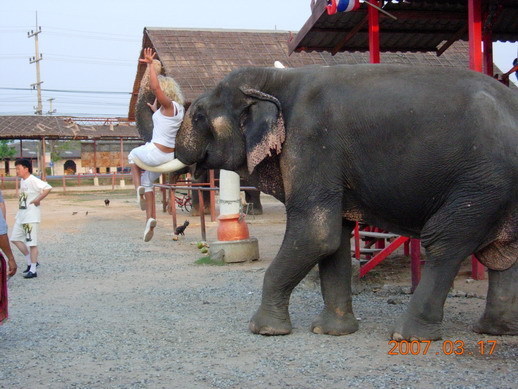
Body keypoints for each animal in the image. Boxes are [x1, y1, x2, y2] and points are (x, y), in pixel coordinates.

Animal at [162, 63, 518, 340]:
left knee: (446, 241)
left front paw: (263, 330)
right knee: (503, 253)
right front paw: (330, 331)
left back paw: (408, 336)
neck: (276, 79)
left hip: (482, 182)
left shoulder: (310, 141)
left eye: (199, 116)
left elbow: (316, 234)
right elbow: (335, 238)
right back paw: (495, 330)